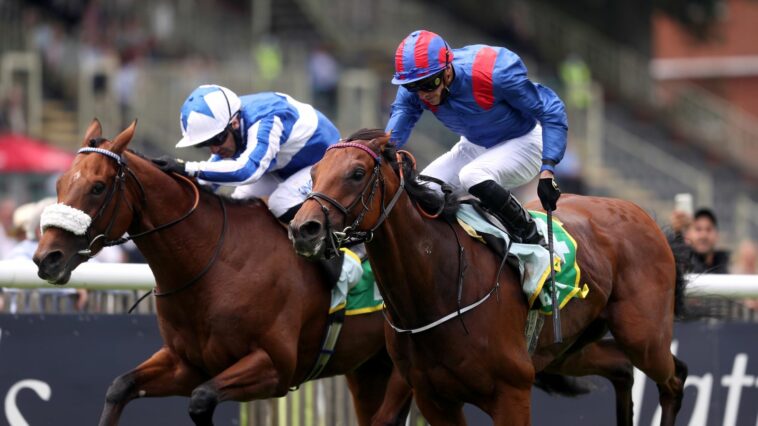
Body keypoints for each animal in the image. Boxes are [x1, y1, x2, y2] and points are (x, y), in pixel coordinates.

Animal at [34, 120, 416, 426]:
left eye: (98, 186)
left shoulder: (274, 367)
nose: (46, 258)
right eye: (59, 184)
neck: (213, 264)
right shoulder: (186, 364)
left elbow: (201, 400)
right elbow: (119, 387)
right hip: (368, 369)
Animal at [290, 130, 688, 426]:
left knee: (674, 378)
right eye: (313, 173)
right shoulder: (434, 399)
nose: (304, 229)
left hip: (643, 335)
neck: (438, 288)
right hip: (568, 349)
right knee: (622, 369)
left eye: (357, 173)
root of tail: (639, 212)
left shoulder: (512, 393)